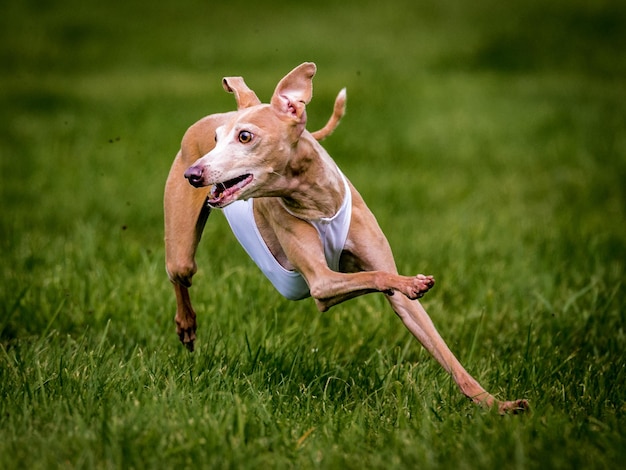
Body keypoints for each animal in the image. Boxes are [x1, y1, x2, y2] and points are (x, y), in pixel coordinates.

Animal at [162, 63, 528, 414]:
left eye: (245, 136)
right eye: (216, 139)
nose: (194, 174)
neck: (318, 200)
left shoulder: (398, 297)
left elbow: (442, 349)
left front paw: (496, 404)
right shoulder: (322, 284)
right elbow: (375, 277)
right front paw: (411, 282)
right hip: (181, 249)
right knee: (180, 273)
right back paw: (186, 325)